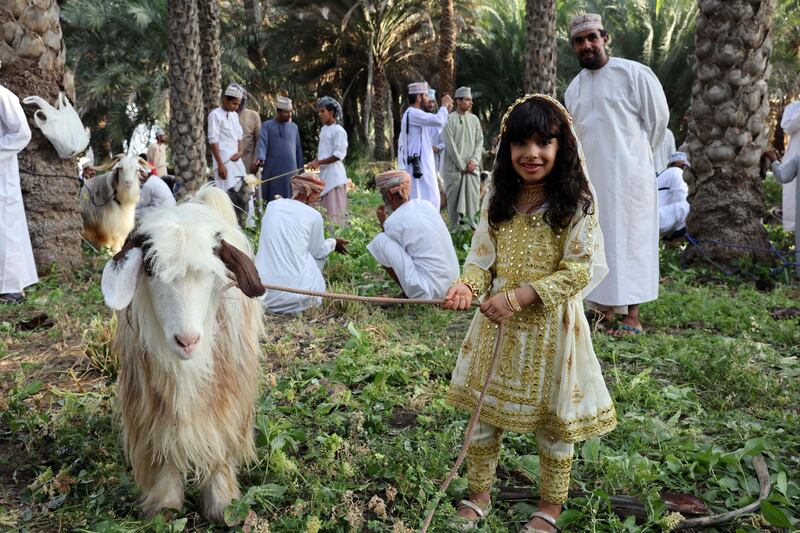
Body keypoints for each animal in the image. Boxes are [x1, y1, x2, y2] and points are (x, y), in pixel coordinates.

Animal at [100, 186, 266, 520]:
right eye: (150, 268)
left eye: (211, 271)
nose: (187, 341)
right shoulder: (148, 401)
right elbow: (161, 447)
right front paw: (164, 506)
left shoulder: (228, 391)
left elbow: (219, 438)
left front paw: (223, 503)